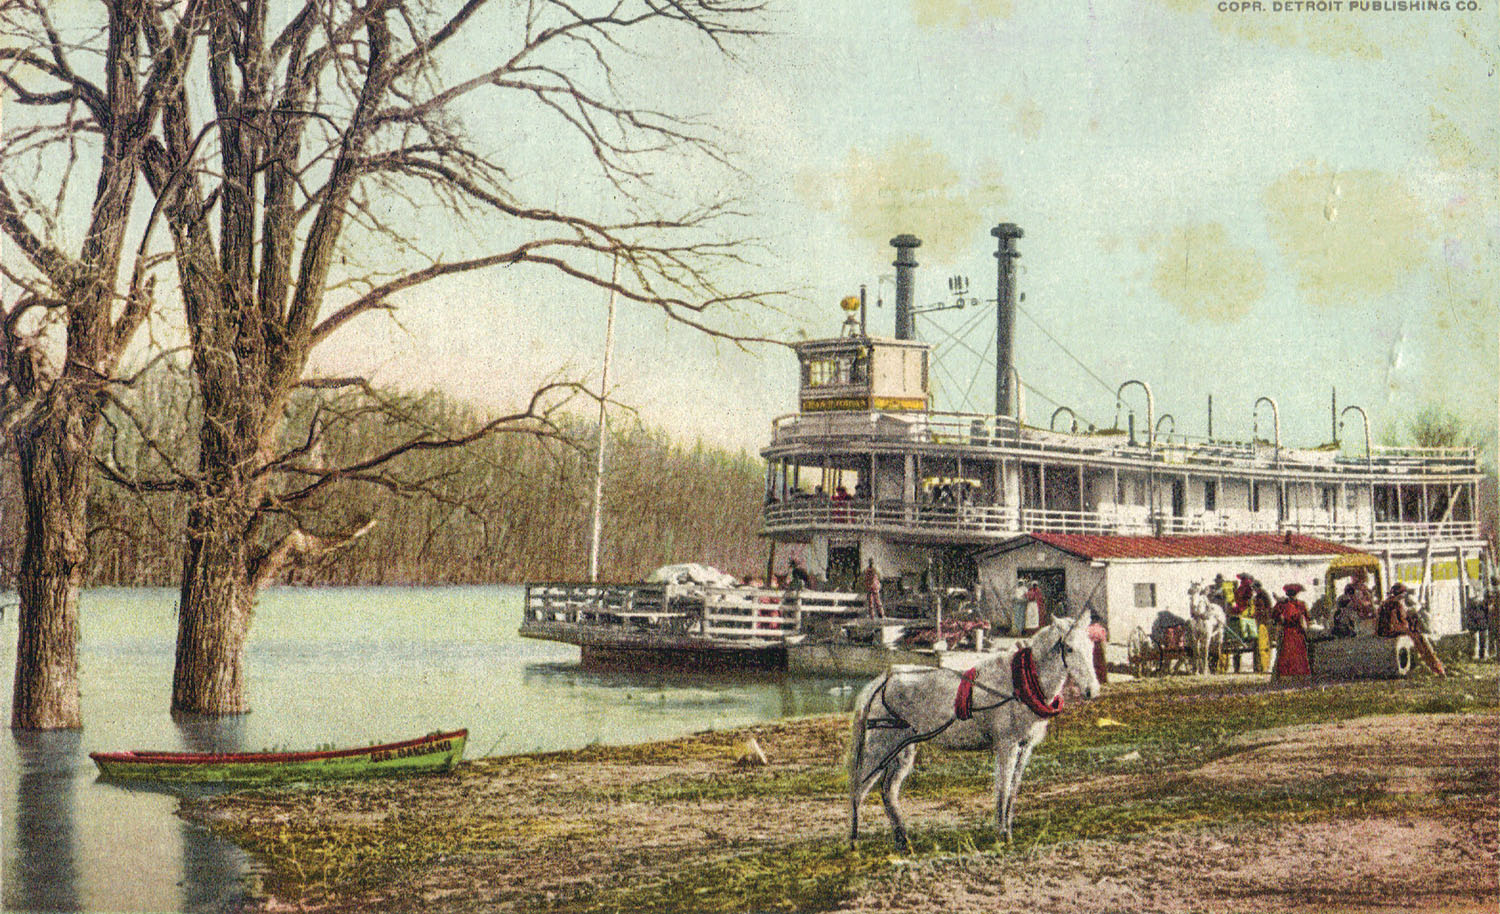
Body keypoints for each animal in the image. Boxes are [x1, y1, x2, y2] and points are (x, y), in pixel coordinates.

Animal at [846, 612, 1104, 846]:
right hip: (878, 749)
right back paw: (855, 842)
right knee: (859, 789)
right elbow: (1002, 789)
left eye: (1091, 646)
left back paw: (903, 840)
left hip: (902, 752)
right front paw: (1002, 834)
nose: (1092, 690)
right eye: (1069, 649)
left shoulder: (1025, 747)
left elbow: (1012, 791)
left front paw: (1007, 829)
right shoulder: (1007, 746)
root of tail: (882, 680)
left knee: (888, 792)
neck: (1019, 684)